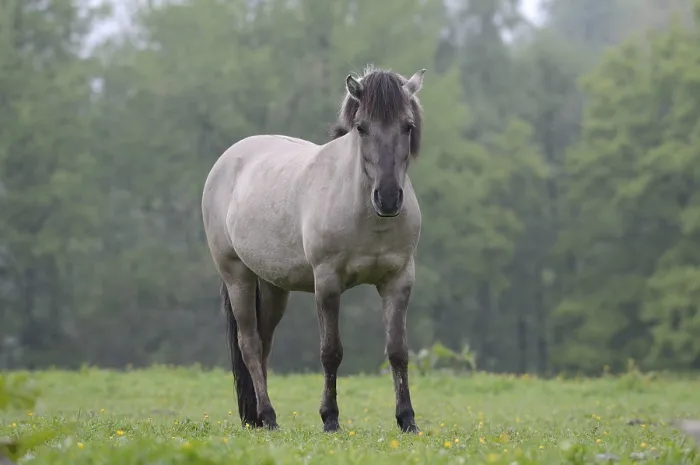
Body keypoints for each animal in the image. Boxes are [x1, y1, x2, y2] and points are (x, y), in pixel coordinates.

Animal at [201, 65, 427, 433]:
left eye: (408, 126)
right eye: (361, 127)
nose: (389, 198)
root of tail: (227, 160)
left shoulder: (398, 281)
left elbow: (398, 351)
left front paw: (407, 419)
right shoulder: (328, 283)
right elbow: (331, 352)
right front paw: (330, 418)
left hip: (273, 286)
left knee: (264, 343)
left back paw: (260, 417)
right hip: (237, 276)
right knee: (250, 344)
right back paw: (269, 417)